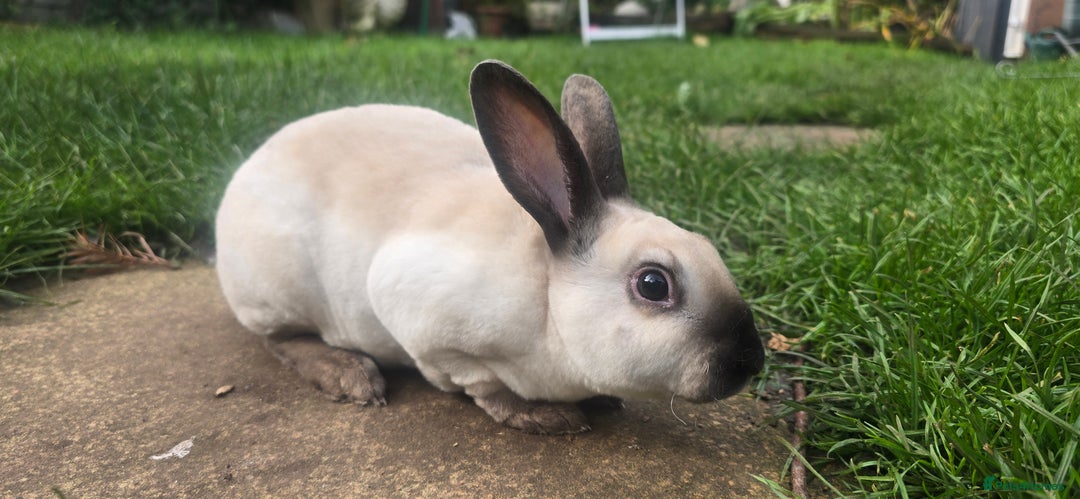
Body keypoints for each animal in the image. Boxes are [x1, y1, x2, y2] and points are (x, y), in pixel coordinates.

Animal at [215, 60, 765, 435]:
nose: (751, 362)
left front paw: (603, 402)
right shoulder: (423, 324)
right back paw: (348, 375)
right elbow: (477, 383)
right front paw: (543, 416)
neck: (548, 304)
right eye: (653, 284)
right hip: (278, 290)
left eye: (709, 247)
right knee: (280, 339)